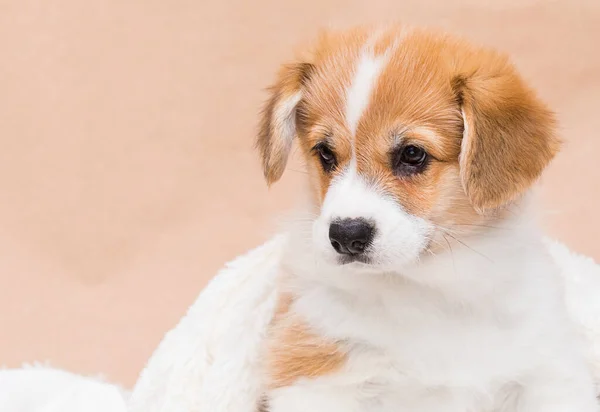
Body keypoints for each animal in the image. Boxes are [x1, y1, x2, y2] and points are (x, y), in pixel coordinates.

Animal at [255, 25, 596, 412]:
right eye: (325, 153)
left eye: (413, 154)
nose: (345, 235)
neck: (427, 287)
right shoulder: (315, 373)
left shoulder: (549, 370)